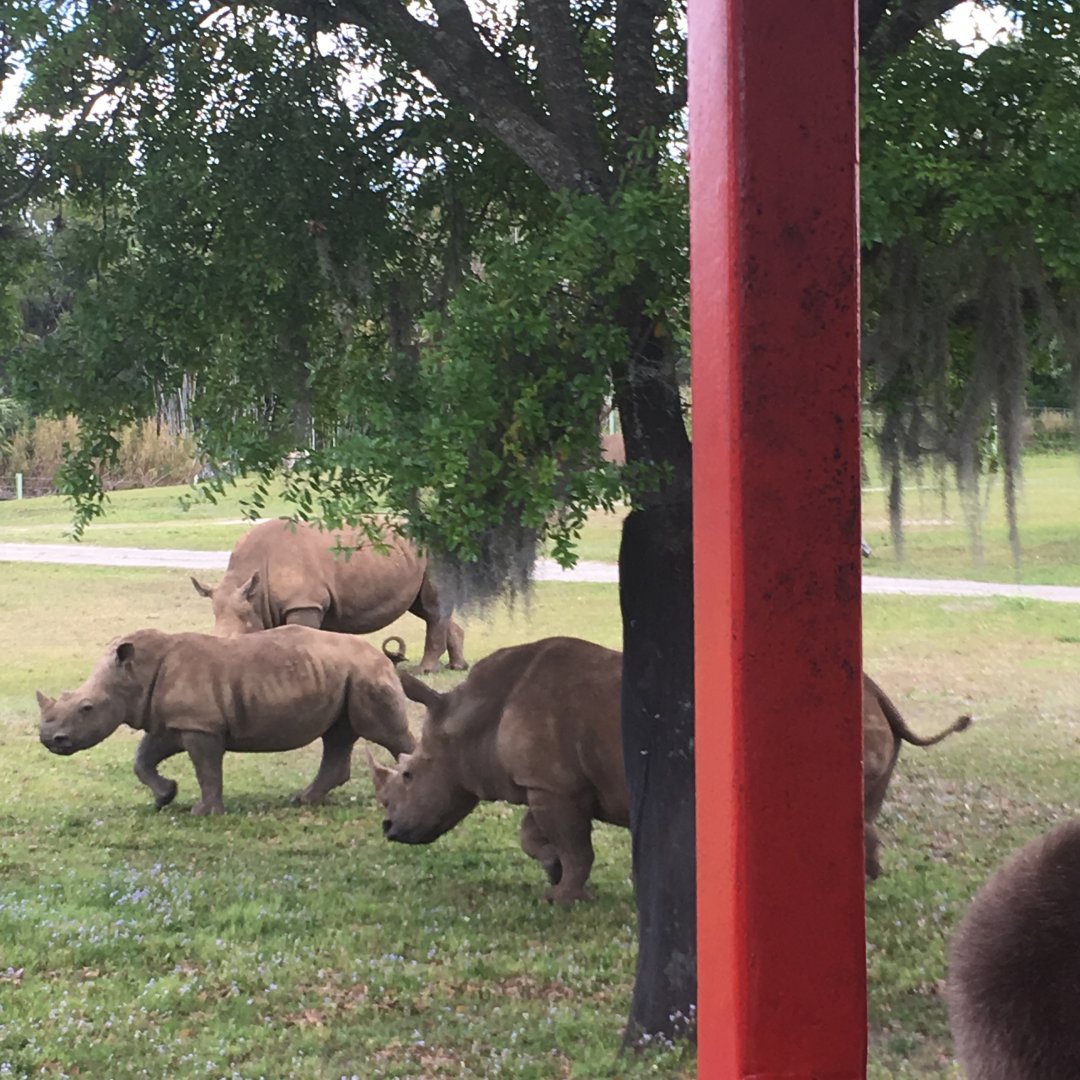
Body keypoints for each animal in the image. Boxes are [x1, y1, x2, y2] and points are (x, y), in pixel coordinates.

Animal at [37, 625, 415, 815]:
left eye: (87, 708)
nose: (50, 740)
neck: (135, 674)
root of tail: (381, 654)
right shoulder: (171, 721)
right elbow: (142, 759)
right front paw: (164, 797)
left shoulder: (199, 725)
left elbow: (206, 770)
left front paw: (204, 813)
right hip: (342, 674)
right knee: (337, 735)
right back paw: (303, 800)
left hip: (366, 673)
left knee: (385, 733)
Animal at [191, 519, 467, 674]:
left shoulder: (304, 604)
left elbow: (301, 639)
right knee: (424, 607)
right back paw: (457, 667)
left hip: (431, 552)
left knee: (432, 608)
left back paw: (425, 671)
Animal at [367, 636, 628, 904]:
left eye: (408, 775)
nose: (387, 828)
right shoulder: (542, 782)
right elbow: (530, 835)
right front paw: (554, 868)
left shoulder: (557, 786)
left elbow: (575, 849)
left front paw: (563, 899)